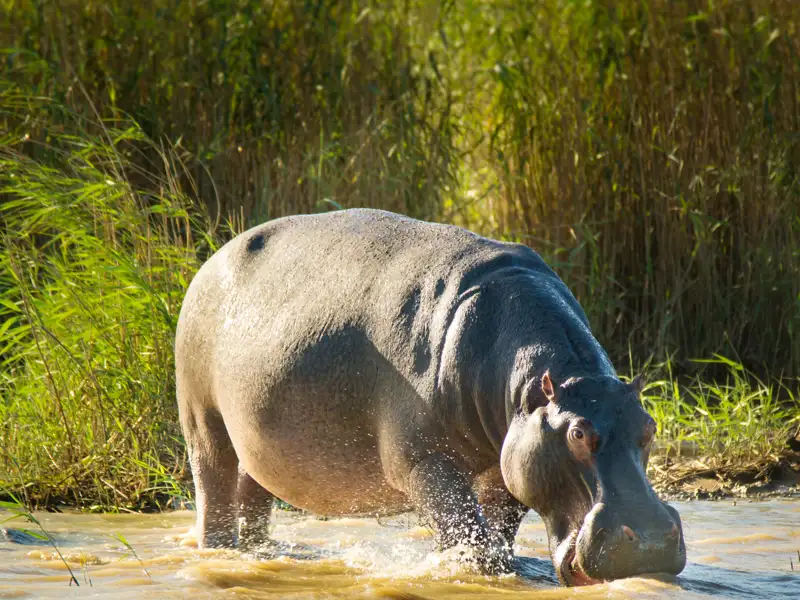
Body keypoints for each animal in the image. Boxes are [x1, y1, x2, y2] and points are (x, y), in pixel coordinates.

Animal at [175, 208, 686, 585]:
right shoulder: (423, 462)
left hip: (262, 442)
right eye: (577, 433)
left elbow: (497, 530)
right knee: (213, 487)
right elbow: (470, 538)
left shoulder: (508, 462)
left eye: (650, 427)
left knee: (253, 491)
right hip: (202, 421)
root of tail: (215, 255)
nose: (649, 543)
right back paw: (218, 552)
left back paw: (263, 553)